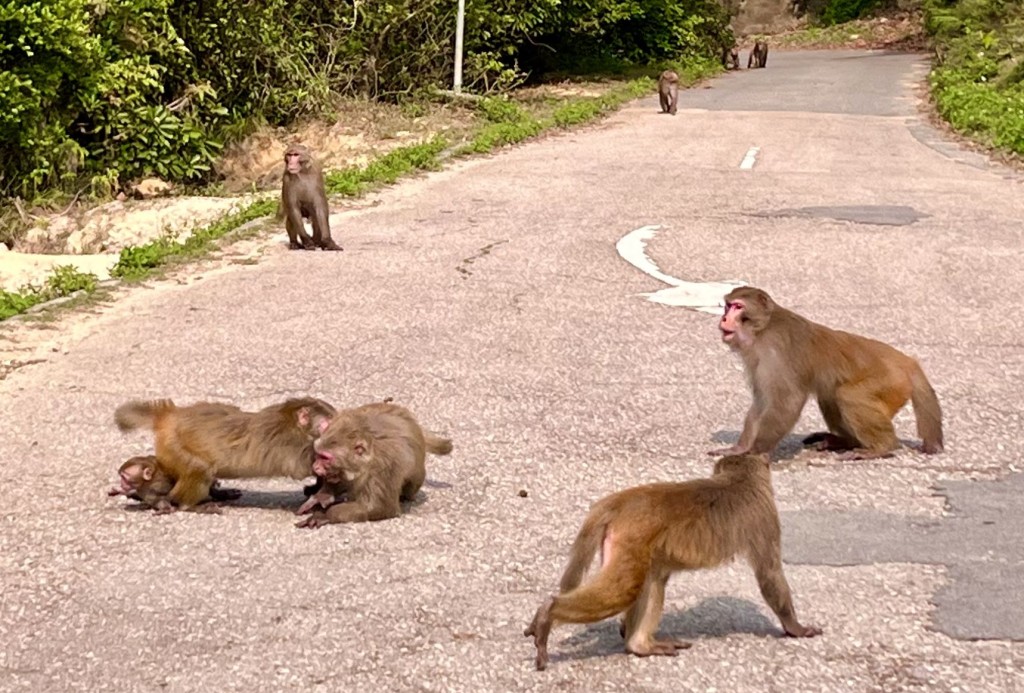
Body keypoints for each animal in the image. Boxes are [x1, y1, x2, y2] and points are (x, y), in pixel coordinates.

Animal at [113, 395, 335, 507]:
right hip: (173, 446)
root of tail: (169, 416)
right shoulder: (288, 441)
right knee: (199, 467)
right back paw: (190, 504)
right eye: (327, 423)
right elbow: (302, 467)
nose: (336, 430)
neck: (292, 421)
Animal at [294, 399, 450, 524]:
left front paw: (325, 514)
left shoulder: (384, 468)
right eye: (318, 454)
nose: (315, 466)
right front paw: (321, 497)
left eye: (325, 458)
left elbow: (380, 508)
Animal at [524, 450, 819, 667]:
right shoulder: (765, 517)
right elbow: (770, 574)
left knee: (652, 580)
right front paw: (795, 627)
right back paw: (549, 612)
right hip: (632, 537)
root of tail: (618, 502)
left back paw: (639, 645)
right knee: (625, 589)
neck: (740, 479)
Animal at [712, 284, 942, 456]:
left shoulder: (777, 350)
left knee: (847, 394)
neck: (763, 329)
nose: (724, 318)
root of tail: (906, 361)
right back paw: (844, 442)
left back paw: (881, 448)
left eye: (738, 307)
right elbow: (762, 401)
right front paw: (740, 448)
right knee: (830, 395)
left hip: (889, 382)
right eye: (727, 306)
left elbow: (788, 400)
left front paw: (756, 451)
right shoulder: (756, 358)